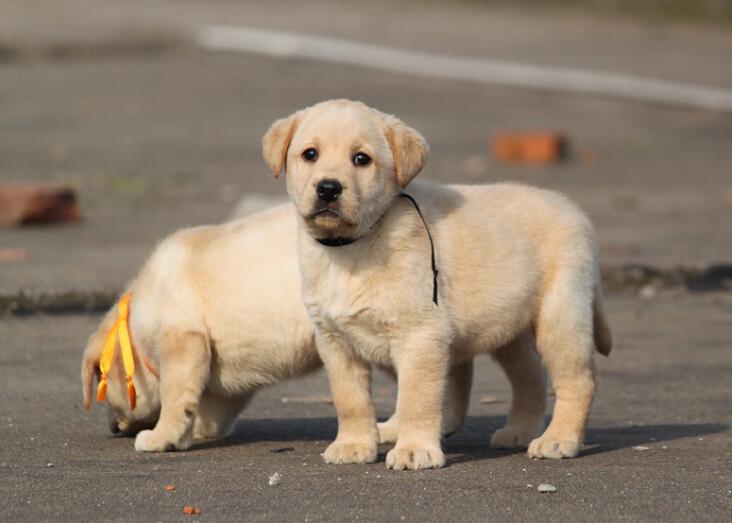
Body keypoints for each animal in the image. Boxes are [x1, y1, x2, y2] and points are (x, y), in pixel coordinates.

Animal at [83, 204, 472, 450]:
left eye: (102, 381)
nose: (111, 427)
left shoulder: (182, 339)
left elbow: (175, 395)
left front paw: (160, 437)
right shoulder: (220, 378)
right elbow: (210, 406)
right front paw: (196, 431)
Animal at [264, 98, 612, 470]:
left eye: (361, 159)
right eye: (309, 154)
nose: (328, 188)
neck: (353, 245)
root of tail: (575, 212)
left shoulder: (421, 334)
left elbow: (417, 397)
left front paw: (415, 449)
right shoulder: (335, 341)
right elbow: (350, 399)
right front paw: (353, 445)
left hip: (560, 317)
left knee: (578, 381)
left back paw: (559, 439)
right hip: (507, 326)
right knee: (530, 375)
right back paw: (519, 430)